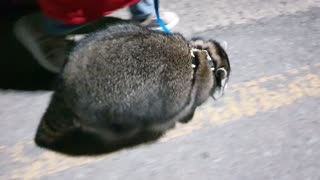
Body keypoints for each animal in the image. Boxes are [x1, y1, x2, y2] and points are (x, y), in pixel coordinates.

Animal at [34, 23, 230, 150]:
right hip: (108, 110)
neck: (204, 55)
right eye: (225, 80)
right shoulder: (196, 87)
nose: (223, 92)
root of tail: (65, 87)